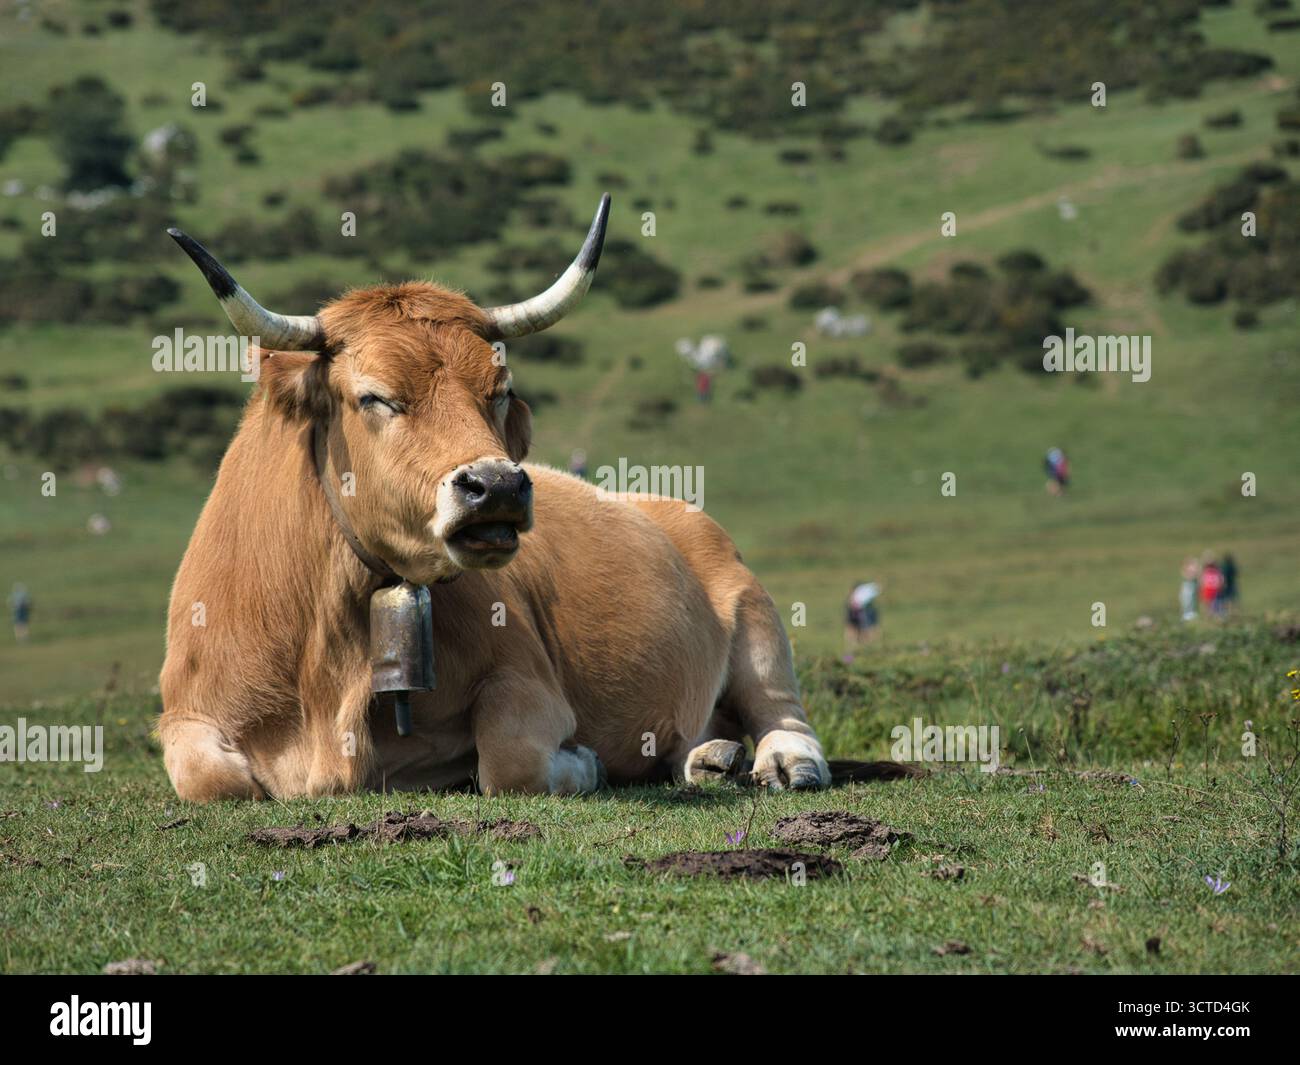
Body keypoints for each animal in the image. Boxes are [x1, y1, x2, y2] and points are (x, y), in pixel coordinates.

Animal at [158, 195, 834, 801]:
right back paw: (708, 760)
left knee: (780, 710)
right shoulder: (185, 714)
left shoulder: (527, 680)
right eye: (374, 396)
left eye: (500, 389)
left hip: (756, 616)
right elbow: (210, 779)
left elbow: (510, 761)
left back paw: (785, 762)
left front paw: (585, 764)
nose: (499, 486)